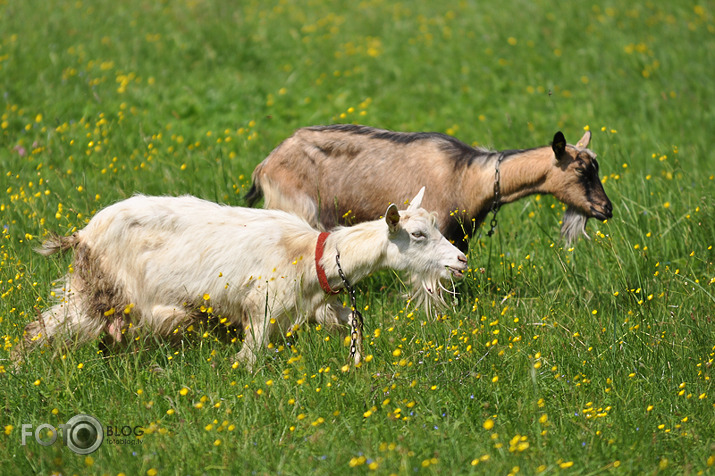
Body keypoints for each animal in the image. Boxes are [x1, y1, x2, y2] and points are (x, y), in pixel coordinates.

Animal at [16, 188, 470, 370]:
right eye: (417, 234)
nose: (462, 260)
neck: (310, 256)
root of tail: (82, 234)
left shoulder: (315, 307)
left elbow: (352, 321)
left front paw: (358, 361)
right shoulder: (261, 309)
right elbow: (249, 358)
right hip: (100, 290)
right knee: (43, 326)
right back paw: (19, 366)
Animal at [249, 124, 612, 251]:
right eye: (581, 171)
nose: (606, 209)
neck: (467, 175)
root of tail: (265, 165)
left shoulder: (462, 234)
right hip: (296, 210)